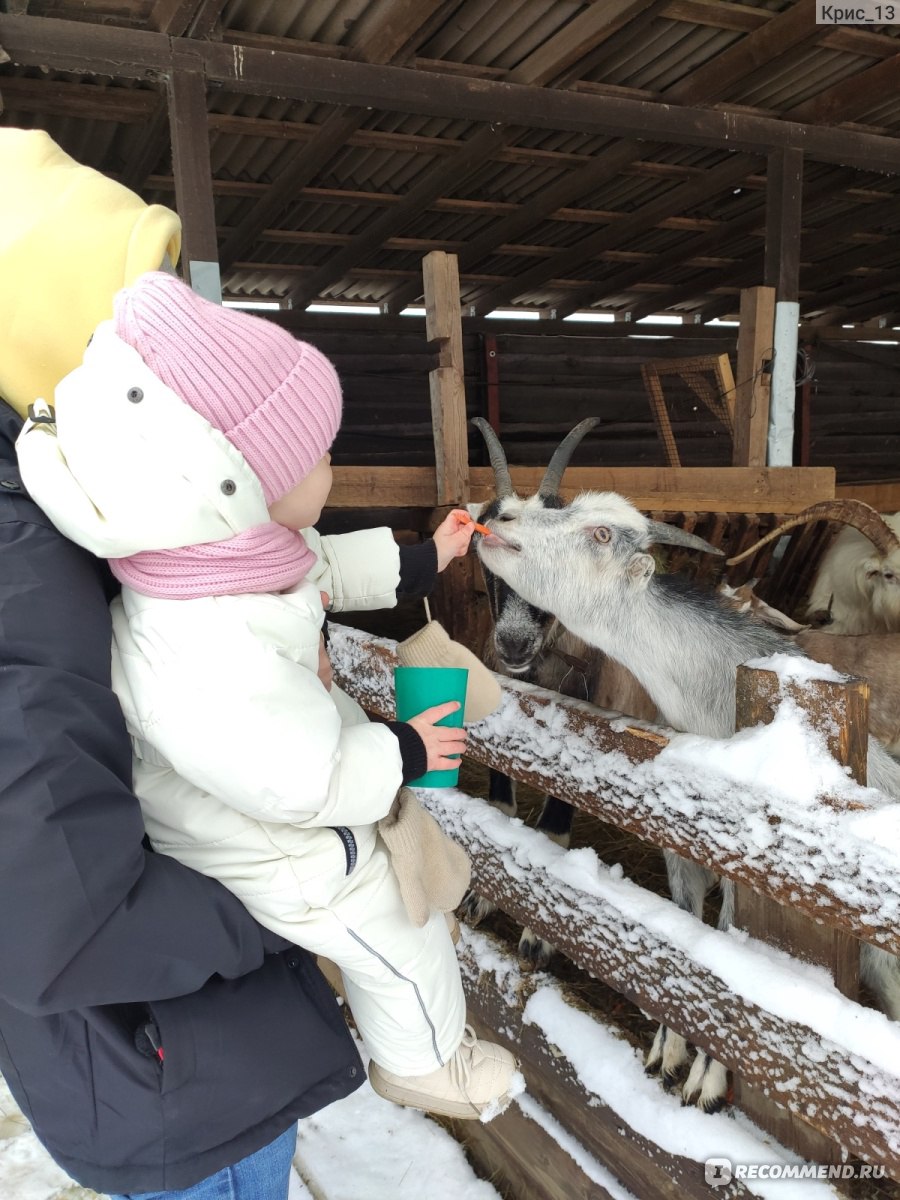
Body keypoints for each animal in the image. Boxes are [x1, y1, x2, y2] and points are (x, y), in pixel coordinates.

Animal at [465, 417, 657, 969]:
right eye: (483, 543)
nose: (513, 642)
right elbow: (500, 810)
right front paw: (483, 897)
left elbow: (554, 828)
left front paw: (538, 937)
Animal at [475, 487, 900, 1113]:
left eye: (602, 534)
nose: (500, 516)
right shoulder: (679, 851)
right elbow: (684, 935)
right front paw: (668, 1051)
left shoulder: (751, 879)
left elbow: (725, 959)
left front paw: (708, 1080)